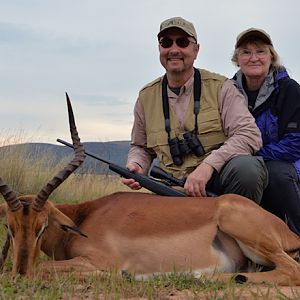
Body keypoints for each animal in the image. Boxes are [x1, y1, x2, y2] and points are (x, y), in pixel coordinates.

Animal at [0, 96, 300, 286]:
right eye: (10, 229)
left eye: (41, 227)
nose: (20, 275)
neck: (86, 218)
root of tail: (286, 230)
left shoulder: (99, 260)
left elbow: (44, 267)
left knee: (292, 271)